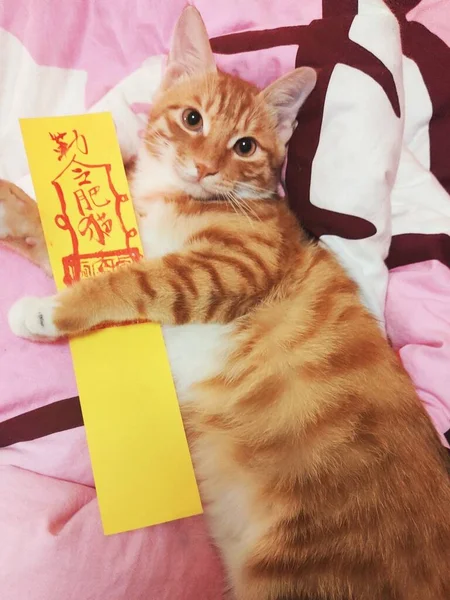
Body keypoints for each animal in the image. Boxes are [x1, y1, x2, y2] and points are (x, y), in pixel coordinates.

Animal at [0, 5, 450, 600]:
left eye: (245, 147)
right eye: (193, 120)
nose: (205, 167)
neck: (177, 197)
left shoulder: (227, 269)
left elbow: (131, 280)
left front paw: (49, 311)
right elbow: (69, 245)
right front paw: (12, 206)